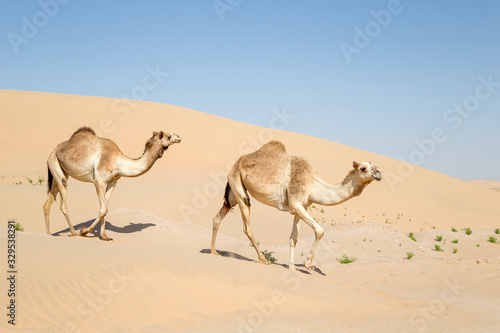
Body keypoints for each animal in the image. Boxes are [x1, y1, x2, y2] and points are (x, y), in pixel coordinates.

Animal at [43, 126, 182, 239]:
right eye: (168, 136)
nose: (179, 137)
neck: (118, 162)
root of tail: (53, 151)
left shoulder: (112, 182)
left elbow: (106, 208)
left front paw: (104, 236)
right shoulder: (98, 181)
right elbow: (102, 209)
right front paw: (84, 231)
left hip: (57, 172)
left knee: (47, 204)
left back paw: (48, 233)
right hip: (56, 165)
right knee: (63, 203)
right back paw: (73, 232)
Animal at [209, 140, 380, 270]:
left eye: (374, 166)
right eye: (363, 168)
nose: (379, 173)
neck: (312, 185)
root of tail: (236, 163)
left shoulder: (302, 207)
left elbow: (293, 239)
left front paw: (291, 268)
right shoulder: (296, 204)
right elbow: (320, 230)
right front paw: (308, 264)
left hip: (233, 191)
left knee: (219, 216)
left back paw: (213, 251)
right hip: (238, 185)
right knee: (247, 225)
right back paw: (263, 258)